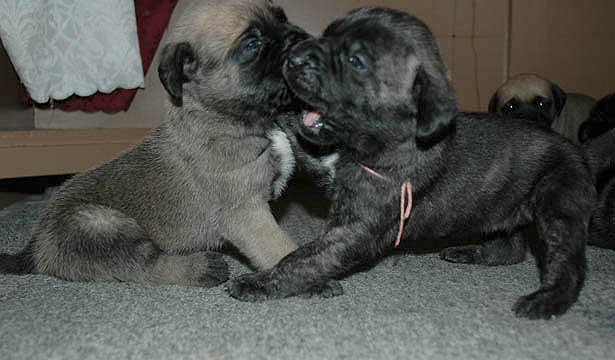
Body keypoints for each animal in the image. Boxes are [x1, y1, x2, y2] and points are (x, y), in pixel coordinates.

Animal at [0, 0, 312, 286]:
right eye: (252, 44)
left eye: (282, 18)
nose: (301, 41)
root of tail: (35, 248)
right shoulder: (247, 212)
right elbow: (279, 248)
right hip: (101, 224)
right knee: (145, 266)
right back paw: (200, 268)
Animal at [227, 7, 596, 320]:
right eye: (327, 34)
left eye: (356, 61)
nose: (294, 57)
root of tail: (576, 150)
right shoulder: (326, 161)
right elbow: (299, 138)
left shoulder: (355, 227)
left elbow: (304, 258)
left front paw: (259, 283)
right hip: (501, 210)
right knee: (510, 248)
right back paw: (471, 253)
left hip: (557, 206)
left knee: (568, 262)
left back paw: (548, 300)